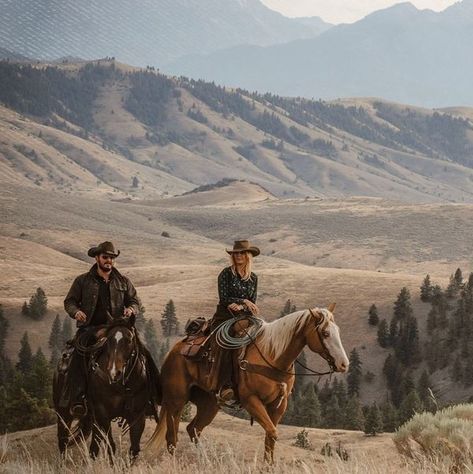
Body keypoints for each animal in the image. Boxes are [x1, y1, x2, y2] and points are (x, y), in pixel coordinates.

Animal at [146, 304, 348, 462]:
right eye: (325, 333)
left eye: (338, 331)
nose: (344, 364)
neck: (272, 356)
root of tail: (174, 350)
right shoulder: (251, 400)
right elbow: (272, 432)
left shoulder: (278, 405)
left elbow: (270, 437)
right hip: (176, 400)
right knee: (172, 437)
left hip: (209, 403)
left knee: (193, 429)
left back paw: (204, 461)